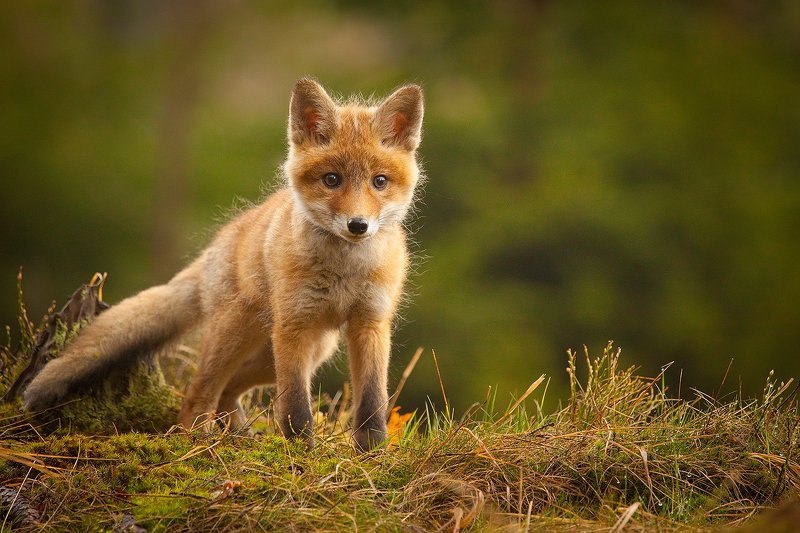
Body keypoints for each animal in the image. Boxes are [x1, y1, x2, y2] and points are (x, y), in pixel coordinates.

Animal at [22, 78, 424, 451]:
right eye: (331, 179)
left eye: (379, 181)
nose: (358, 226)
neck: (345, 270)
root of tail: (219, 244)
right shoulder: (293, 327)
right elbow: (296, 408)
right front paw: (301, 456)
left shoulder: (370, 323)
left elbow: (372, 401)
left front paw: (372, 455)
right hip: (242, 335)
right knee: (198, 392)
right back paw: (196, 442)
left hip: (297, 351)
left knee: (229, 390)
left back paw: (240, 436)